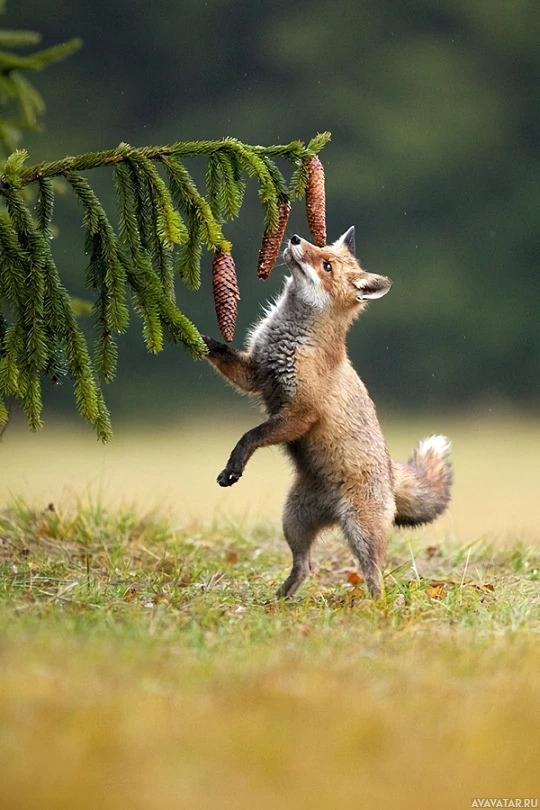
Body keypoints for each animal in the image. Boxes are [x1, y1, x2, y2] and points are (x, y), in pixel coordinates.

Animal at [202, 224, 452, 596]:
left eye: (327, 266)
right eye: (319, 247)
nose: (293, 238)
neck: (291, 337)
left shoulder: (301, 413)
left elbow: (252, 436)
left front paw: (234, 467)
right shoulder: (255, 374)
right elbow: (218, 351)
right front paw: (187, 332)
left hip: (362, 533)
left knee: (375, 575)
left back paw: (375, 606)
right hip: (293, 520)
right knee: (305, 566)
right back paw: (279, 600)